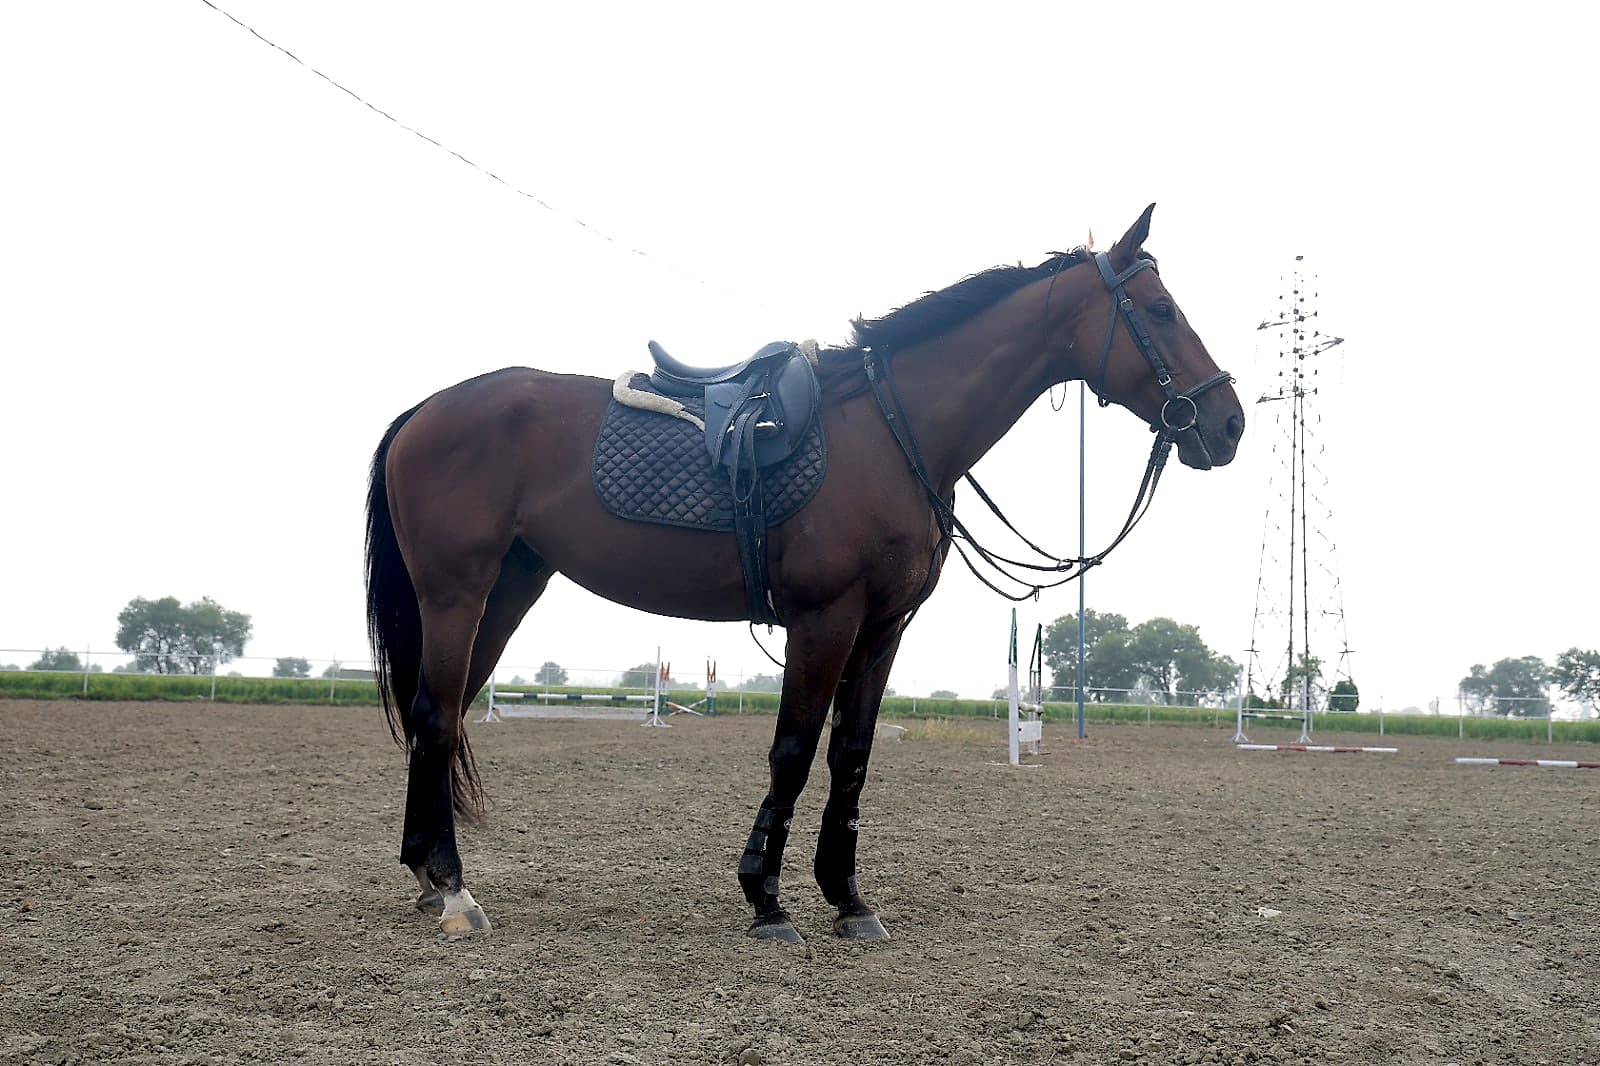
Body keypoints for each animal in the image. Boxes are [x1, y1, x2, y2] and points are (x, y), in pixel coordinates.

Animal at [364, 204, 1244, 941]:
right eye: (1160, 311)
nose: (1228, 422)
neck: (893, 431)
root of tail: (424, 412)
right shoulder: (825, 618)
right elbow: (792, 749)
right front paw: (766, 899)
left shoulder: (884, 626)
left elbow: (850, 755)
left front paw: (847, 898)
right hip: (456, 592)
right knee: (436, 715)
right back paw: (454, 889)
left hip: (508, 590)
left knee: (442, 714)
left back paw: (428, 877)